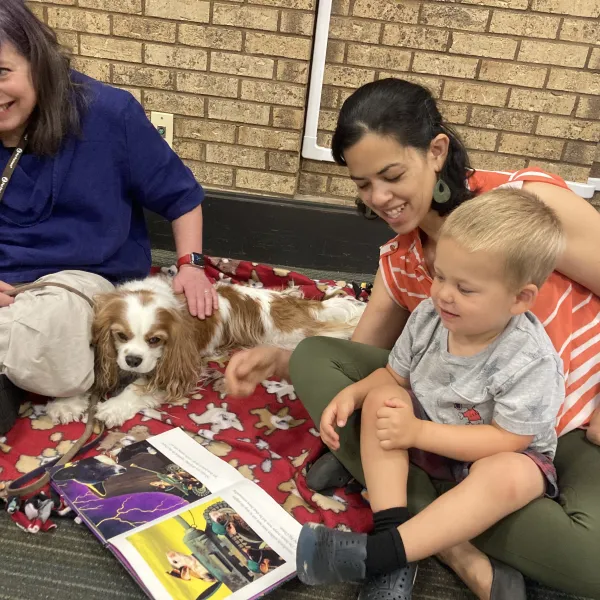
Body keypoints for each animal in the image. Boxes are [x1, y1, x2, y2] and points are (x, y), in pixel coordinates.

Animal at [47, 274, 364, 428]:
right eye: (120, 335)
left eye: (155, 340)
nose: (133, 360)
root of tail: (292, 303)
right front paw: (67, 403)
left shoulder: (178, 364)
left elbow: (140, 387)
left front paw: (113, 407)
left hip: (296, 338)